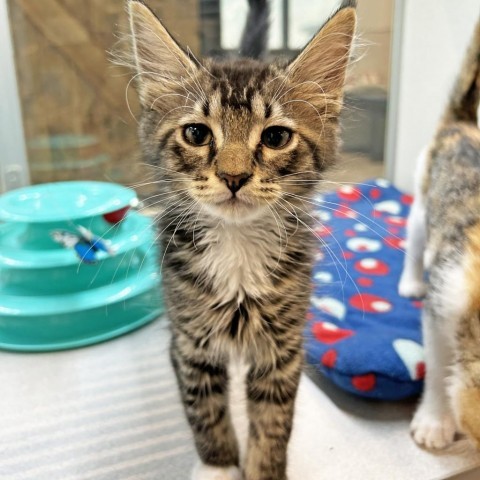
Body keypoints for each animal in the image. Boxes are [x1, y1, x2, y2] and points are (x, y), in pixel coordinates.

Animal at [126, 1, 356, 478]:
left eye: (275, 137)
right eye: (197, 134)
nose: (234, 176)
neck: (237, 245)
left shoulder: (282, 349)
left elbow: (273, 423)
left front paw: (263, 468)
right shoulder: (189, 344)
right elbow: (205, 414)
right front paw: (217, 467)